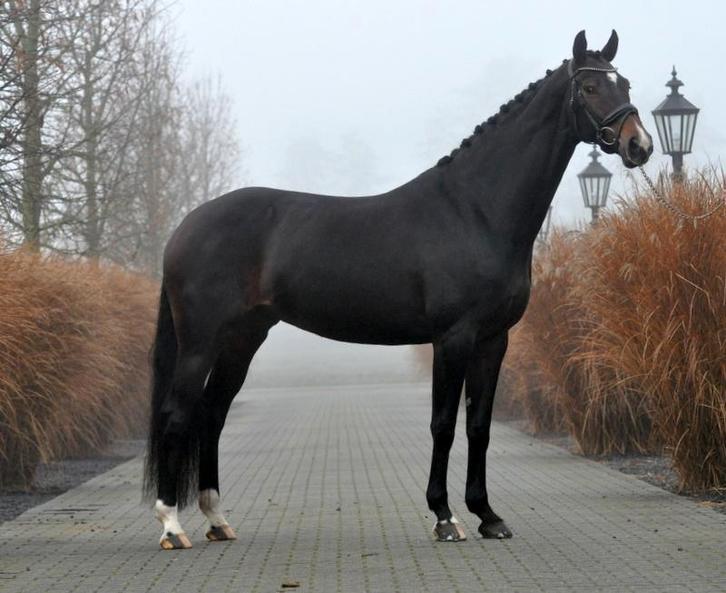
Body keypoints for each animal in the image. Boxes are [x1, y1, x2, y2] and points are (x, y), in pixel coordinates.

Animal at [144, 30, 653, 549]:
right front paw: (445, 517)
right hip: (200, 342)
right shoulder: (452, 338)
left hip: (243, 339)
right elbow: (443, 425)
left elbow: (479, 425)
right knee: (177, 414)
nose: (639, 144)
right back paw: (172, 526)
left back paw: (217, 520)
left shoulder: (494, 339)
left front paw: (488, 516)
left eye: (625, 82)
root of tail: (185, 227)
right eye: (589, 87)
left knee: (212, 414)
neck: (475, 211)